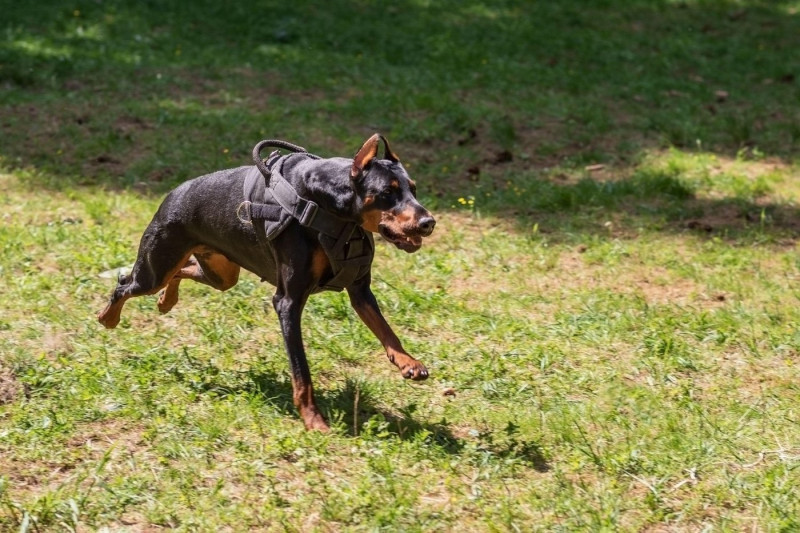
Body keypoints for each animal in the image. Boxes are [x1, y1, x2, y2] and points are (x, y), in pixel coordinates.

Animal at [101, 133, 440, 428]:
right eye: (387, 192)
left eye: (412, 189)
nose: (428, 222)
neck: (330, 208)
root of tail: (171, 194)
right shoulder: (287, 302)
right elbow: (301, 372)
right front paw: (314, 421)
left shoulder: (359, 289)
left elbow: (385, 330)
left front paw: (408, 362)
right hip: (156, 267)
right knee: (125, 284)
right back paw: (108, 317)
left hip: (221, 273)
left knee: (183, 270)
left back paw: (166, 300)